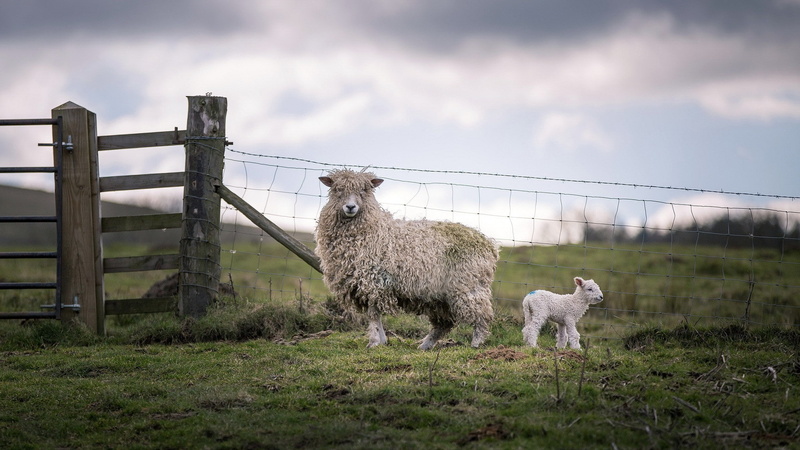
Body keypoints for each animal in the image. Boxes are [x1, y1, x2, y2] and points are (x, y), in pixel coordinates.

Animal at [315, 168, 499, 350]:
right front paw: (382, 340)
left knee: (482, 314)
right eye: (338, 189)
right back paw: (425, 345)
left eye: (364, 190)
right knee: (444, 323)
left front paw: (374, 341)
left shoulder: (373, 281)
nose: (350, 207)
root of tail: (489, 244)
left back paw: (476, 342)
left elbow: (373, 314)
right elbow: (375, 315)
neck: (370, 231)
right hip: (440, 296)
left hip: (469, 284)